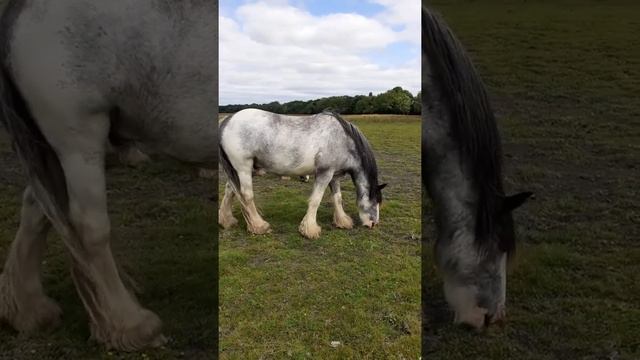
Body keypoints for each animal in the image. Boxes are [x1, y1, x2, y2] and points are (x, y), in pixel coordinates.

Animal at [218, 109, 388, 239]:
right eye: (375, 202)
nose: (373, 224)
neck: (343, 140)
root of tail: (227, 120)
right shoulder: (324, 173)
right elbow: (315, 200)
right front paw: (310, 229)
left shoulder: (333, 176)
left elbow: (337, 198)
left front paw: (342, 221)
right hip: (243, 168)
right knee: (246, 196)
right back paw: (259, 226)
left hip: (240, 170)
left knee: (229, 191)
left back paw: (227, 221)